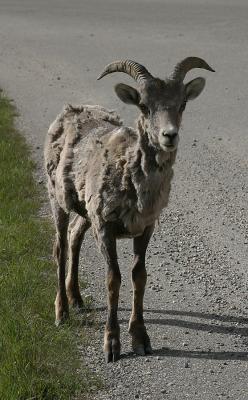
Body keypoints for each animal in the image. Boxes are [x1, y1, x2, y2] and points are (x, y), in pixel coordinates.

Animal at [45, 57, 215, 362]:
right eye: (144, 106)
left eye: (182, 104)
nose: (169, 135)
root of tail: (69, 111)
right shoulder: (105, 227)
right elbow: (114, 279)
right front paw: (111, 345)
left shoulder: (145, 228)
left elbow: (139, 276)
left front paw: (140, 340)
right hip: (58, 201)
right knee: (60, 248)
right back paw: (62, 313)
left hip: (85, 212)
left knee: (75, 237)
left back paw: (77, 300)